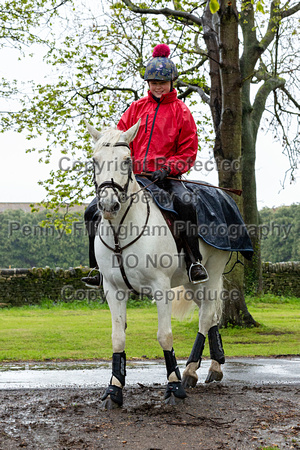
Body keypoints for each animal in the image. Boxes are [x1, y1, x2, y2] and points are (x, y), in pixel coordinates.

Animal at [86, 119, 230, 408]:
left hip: (213, 272)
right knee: (209, 315)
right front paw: (114, 390)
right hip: (191, 283)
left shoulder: (161, 288)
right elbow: (118, 338)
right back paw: (213, 367)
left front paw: (173, 387)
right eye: (95, 160)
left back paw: (190, 371)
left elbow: (165, 335)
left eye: (127, 160)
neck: (121, 230)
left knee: (207, 315)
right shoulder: (113, 290)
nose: (108, 204)